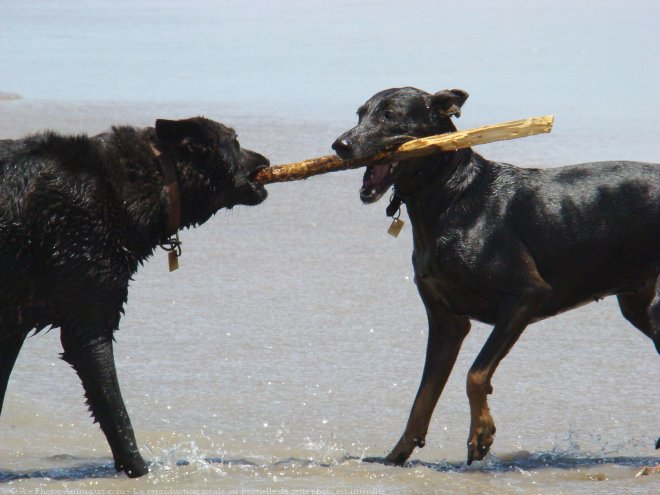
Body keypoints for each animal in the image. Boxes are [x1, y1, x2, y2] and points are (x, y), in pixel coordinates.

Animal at [0, 116, 268, 476]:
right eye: (235, 141)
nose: (266, 161)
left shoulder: (12, 325)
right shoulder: (88, 326)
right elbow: (116, 413)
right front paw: (139, 470)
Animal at [336, 90, 660, 468]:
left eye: (390, 115)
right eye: (360, 114)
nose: (340, 145)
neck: (449, 194)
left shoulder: (527, 295)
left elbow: (476, 374)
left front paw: (481, 434)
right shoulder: (446, 322)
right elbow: (423, 398)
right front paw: (395, 457)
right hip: (640, 308)